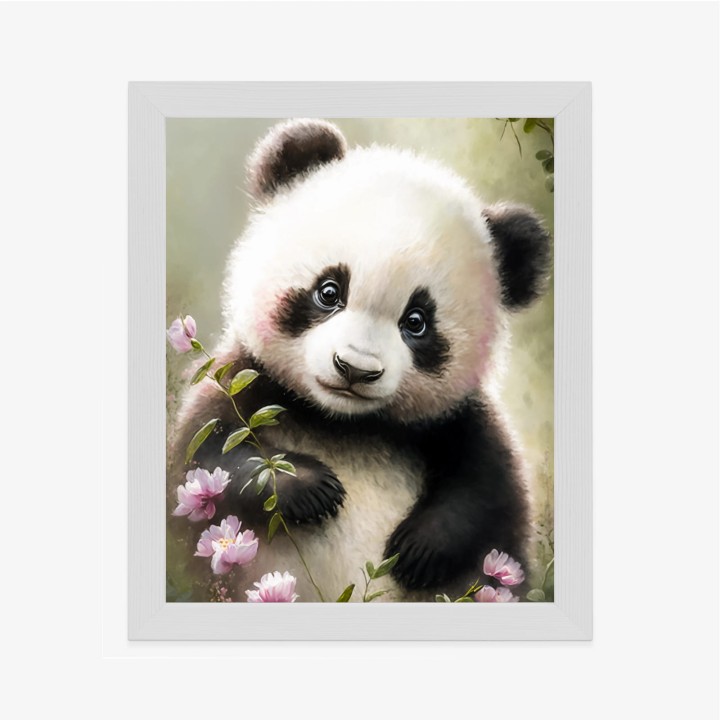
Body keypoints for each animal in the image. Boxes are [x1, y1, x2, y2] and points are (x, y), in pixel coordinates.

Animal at [171, 118, 551, 602]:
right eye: (329, 291)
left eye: (417, 321)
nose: (355, 368)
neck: (345, 424)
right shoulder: (244, 384)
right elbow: (206, 458)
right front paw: (311, 487)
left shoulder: (457, 422)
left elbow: (487, 492)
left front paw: (418, 548)